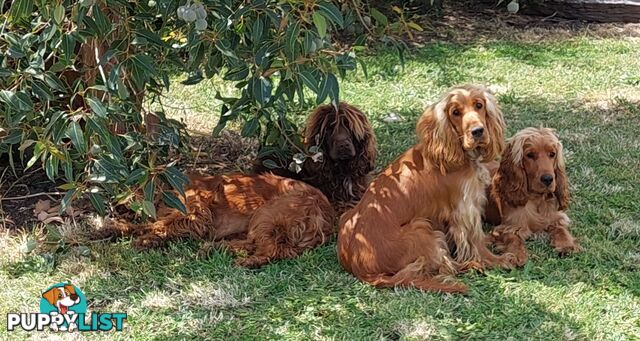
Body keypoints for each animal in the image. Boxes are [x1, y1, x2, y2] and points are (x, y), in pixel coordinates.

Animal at [105, 174, 336, 266]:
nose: (114, 203)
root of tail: (326, 217)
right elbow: (151, 224)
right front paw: (117, 229)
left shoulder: (197, 215)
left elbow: (159, 224)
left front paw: (145, 238)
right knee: (254, 243)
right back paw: (216, 248)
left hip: (267, 212)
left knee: (274, 249)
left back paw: (247, 261)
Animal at [340, 84, 516, 292]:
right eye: (455, 112)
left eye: (479, 105)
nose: (478, 131)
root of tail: (361, 269)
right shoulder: (465, 210)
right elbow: (475, 240)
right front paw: (496, 260)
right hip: (421, 230)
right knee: (445, 267)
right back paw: (472, 265)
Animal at [484, 126, 580, 264]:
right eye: (530, 155)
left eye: (552, 154)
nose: (548, 179)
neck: (536, 199)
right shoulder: (508, 226)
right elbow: (513, 238)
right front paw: (517, 254)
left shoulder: (556, 216)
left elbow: (561, 228)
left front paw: (567, 245)